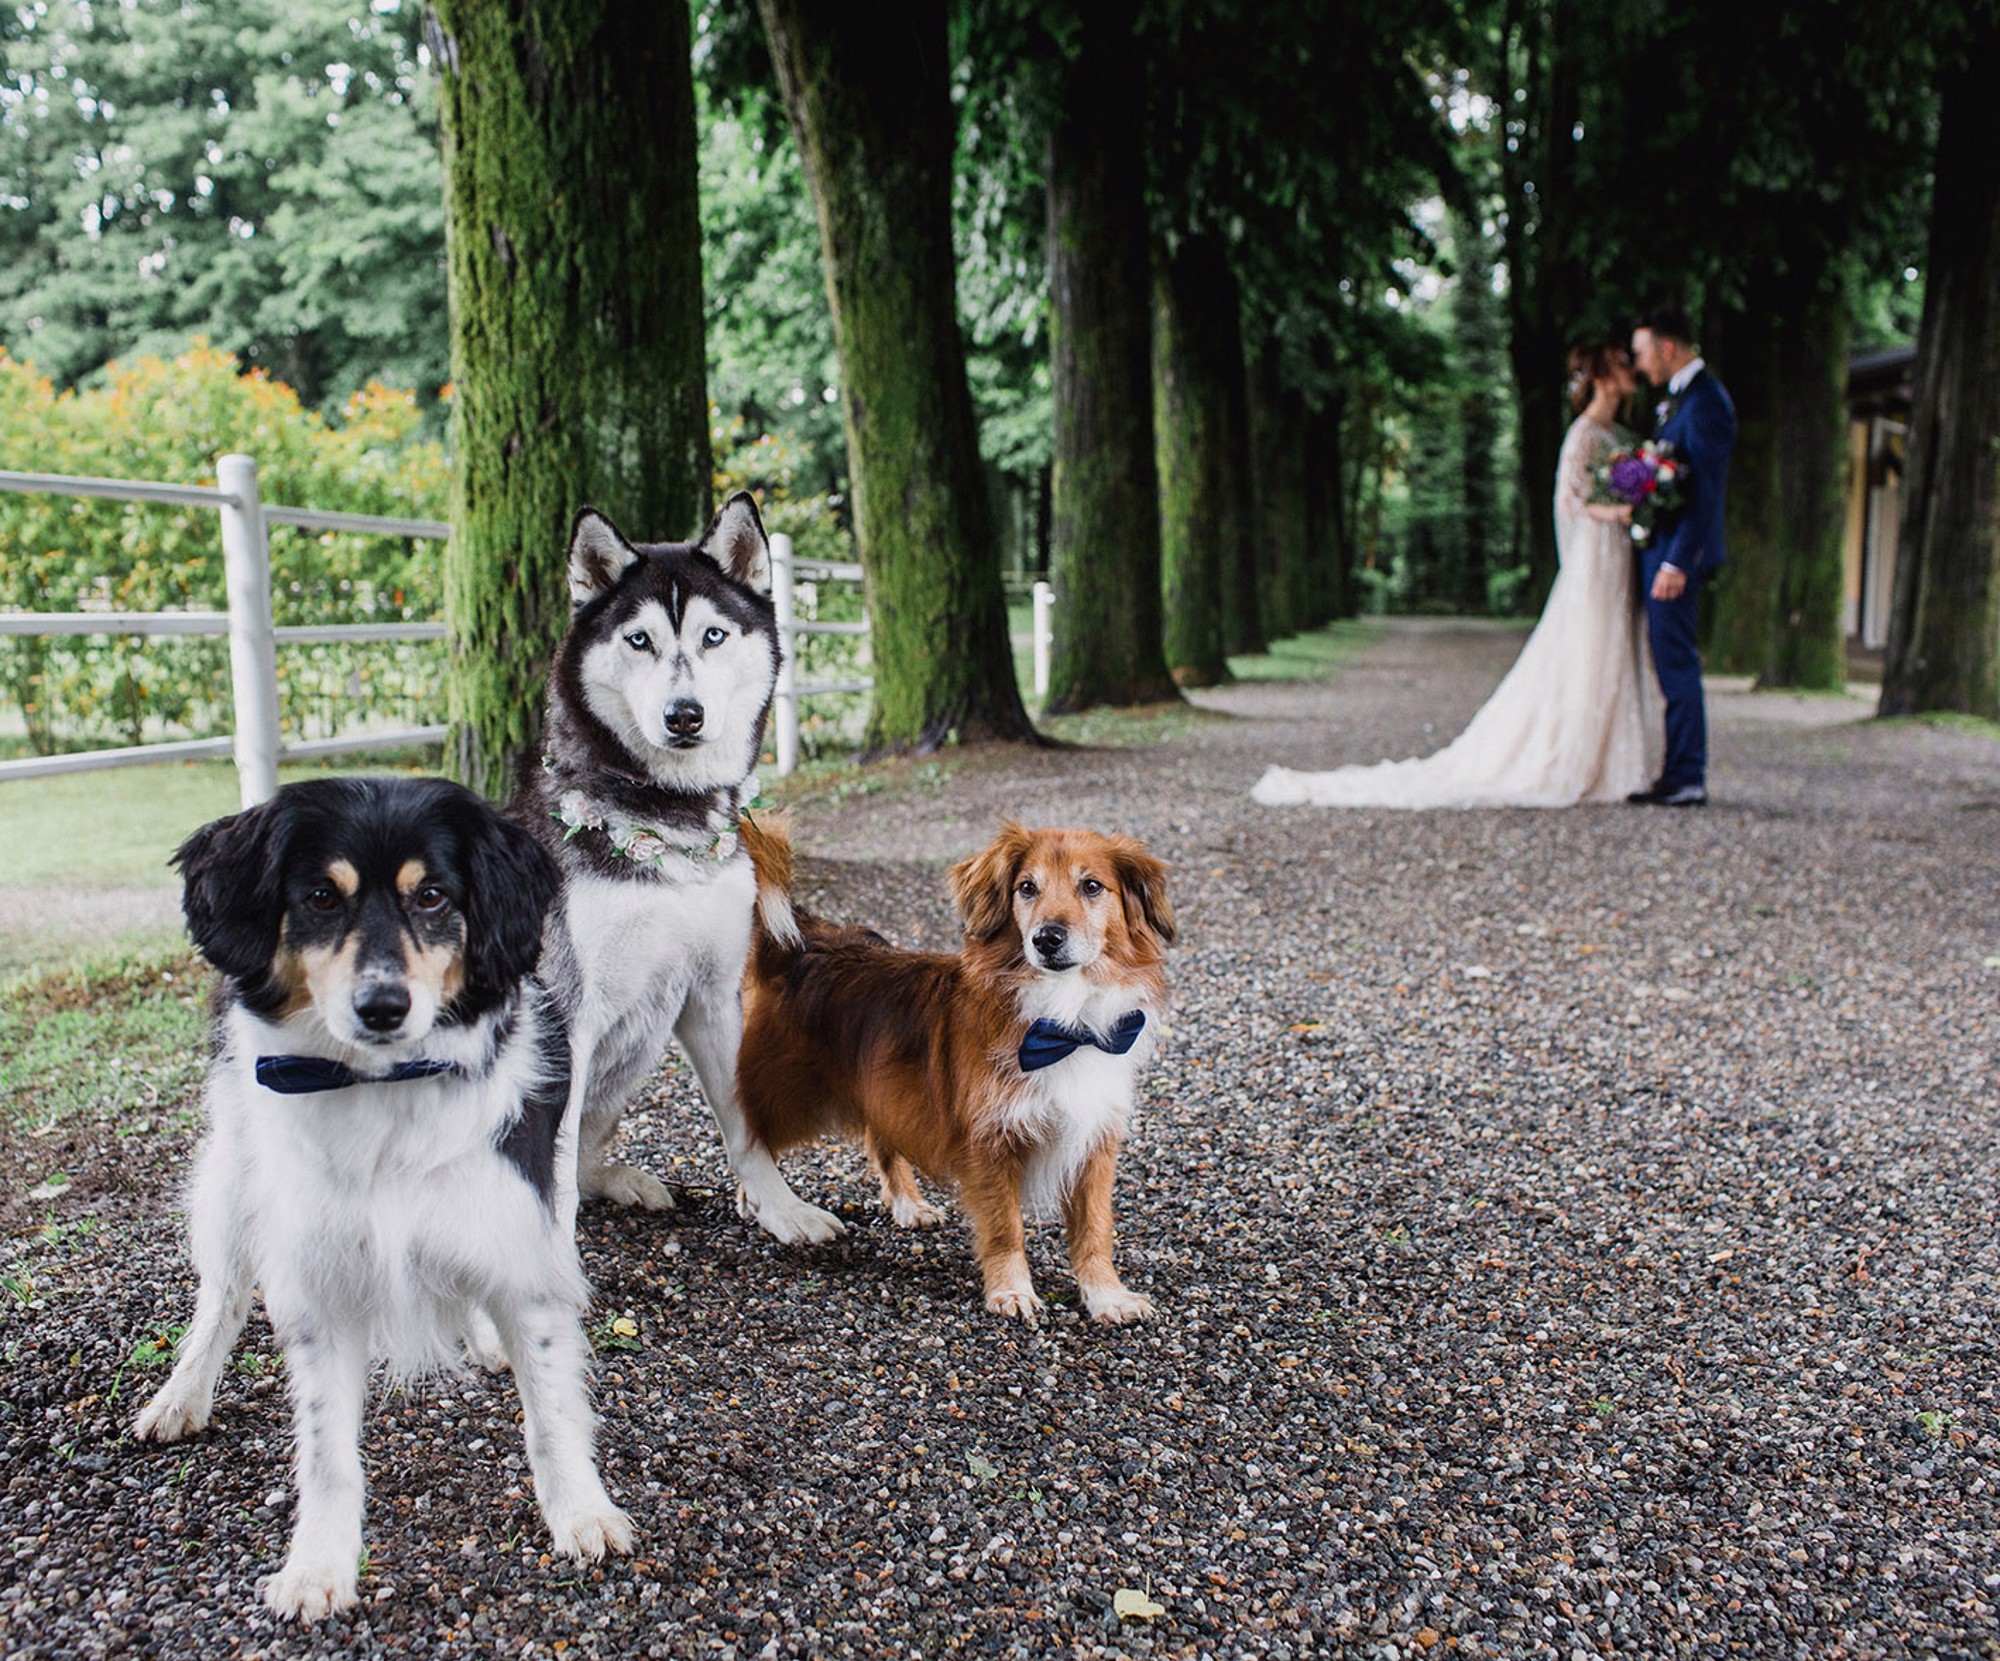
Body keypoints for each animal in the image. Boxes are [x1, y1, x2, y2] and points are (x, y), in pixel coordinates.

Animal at [132, 776, 628, 1624]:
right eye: (319, 897)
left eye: (432, 895)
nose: (383, 1005)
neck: (388, 1083)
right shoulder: (318, 1277)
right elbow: (327, 1450)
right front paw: (318, 1566)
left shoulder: (517, 1233)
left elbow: (552, 1410)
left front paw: (582, 1513)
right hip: (235, 1171)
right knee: (221, 1295)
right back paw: (183, 1394)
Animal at [516, 494, 844, 1248]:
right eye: (639, 640)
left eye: (713, 635)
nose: (684, 715)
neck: (669, 829)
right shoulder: (565, 1015)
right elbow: (551, 1164)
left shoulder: (714, 996)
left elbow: (746, 1124)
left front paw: (780, 1207)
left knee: (584, 1155)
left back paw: (619, 1180)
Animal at [736, 820, 1168, 1328]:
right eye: (1027, 888)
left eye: (1092, 886)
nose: (1046, 938)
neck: (1064, 1022)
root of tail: (805, 945)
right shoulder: (990, 1141)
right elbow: (1004, 1228)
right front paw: (1011, 1290)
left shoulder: (1094, 1141)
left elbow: (1094, 1230)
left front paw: (1106, 1296)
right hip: (793, 1097)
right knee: (752, 1133)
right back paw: (758, 1198)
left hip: (882, 1085)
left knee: (880, 1139)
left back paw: (907, 1203)